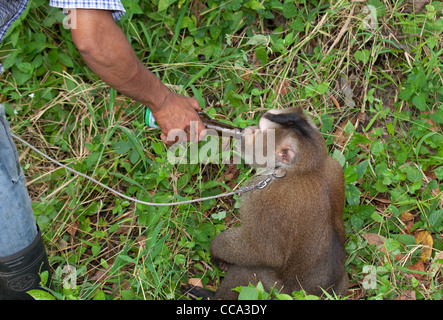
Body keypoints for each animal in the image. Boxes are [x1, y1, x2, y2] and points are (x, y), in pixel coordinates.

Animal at [183, 106, 346, 298]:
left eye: (260, 133)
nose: (246, 130)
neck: (301, 169)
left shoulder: (263, 201)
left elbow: (264, 253)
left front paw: (217, 251)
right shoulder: (335, 168)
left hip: (275, 291)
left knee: (246, 271)